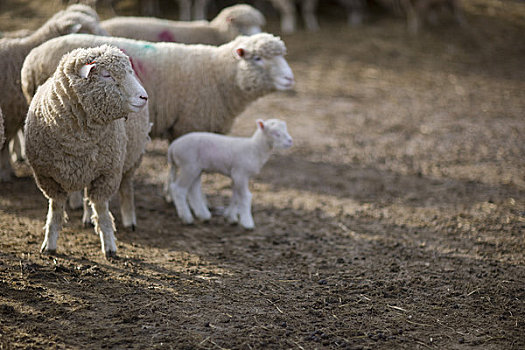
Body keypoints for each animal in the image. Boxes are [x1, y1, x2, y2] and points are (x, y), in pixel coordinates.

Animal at [25, 45, 150, 258]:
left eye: (129, 71)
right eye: (107, 75)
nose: (144, 97)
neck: (78, 143)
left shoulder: (106, 174)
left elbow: (102, 211)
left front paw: (109, 246)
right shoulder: (47, 177)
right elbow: (56, 210)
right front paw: (49, 244)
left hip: (131, 159)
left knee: (126, 187)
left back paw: (129, 219)